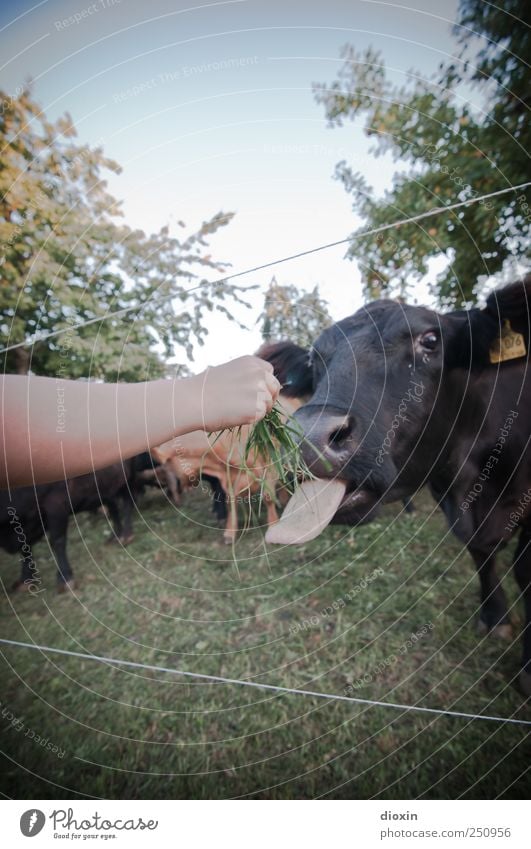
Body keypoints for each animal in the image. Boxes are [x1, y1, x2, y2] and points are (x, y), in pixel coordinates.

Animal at [1, 460, 137, 592]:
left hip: (128, 478)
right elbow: (25, 547)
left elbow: (58, 541)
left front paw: (65, 577)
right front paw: (26, 579)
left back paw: (126, 535)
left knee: (127, 503)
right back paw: (116, 536)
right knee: (113, 506)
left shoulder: (56, 505)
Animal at [278, 274, 531, 692]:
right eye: (314, 360)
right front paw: (494, 616)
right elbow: (480, 554)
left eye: (429, 340)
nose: (308, 439)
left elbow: (523, 569)